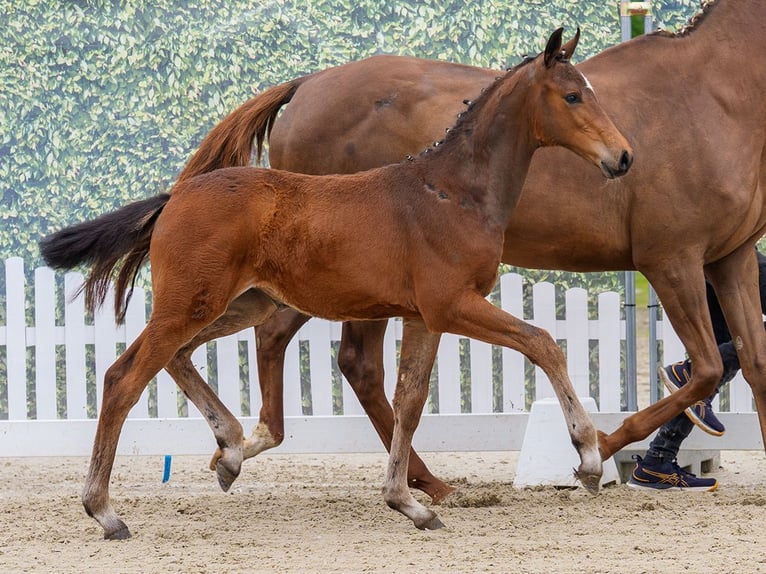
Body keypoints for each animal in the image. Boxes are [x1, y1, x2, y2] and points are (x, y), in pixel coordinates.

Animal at [40, 29, 632, 539]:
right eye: (573, 96)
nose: (623, 157)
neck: (452, 193)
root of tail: (173, 199)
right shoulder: (452, 305)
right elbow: (543, 343)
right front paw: (588, 459)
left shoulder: (422, 317)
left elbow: (410, 401)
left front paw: (409, 503)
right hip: (191, 304)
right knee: (122, 378)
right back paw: (106, 512)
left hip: (241, 304)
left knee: (178, 357)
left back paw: (229, 451)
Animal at [150, 0, 766, 504]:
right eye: (572, 95)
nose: (623, 158)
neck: (714, 94)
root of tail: (306, 85)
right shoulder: (673, 258)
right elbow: (705, 368)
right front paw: (597, 449)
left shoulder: (731, 259)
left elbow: (753, 363)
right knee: (344, 360)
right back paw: (410, 478)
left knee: (303, 345)